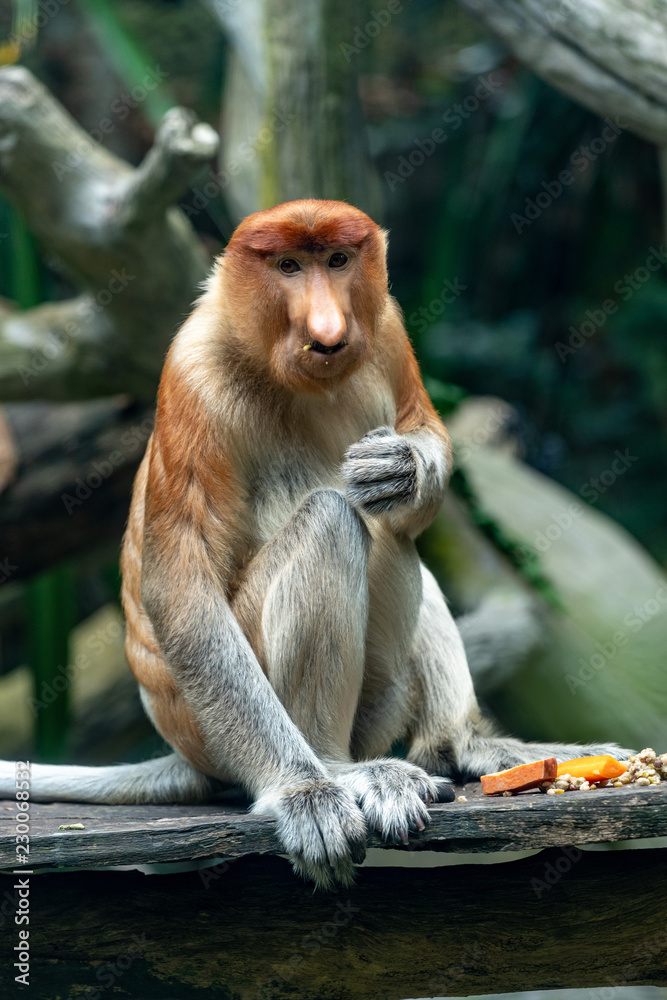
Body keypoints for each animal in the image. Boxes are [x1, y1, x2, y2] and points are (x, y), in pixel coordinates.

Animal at [0, 200, 631, 888]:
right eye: (287, 267)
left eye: (337, 260)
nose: (328, 328)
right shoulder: (193, 373)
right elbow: (182, 593)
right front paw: (304, 794)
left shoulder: (387, 328)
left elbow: (421, 430)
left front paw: (401, 467)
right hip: (209, 726)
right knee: (332, 517)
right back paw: (342, 771)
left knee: (393, 534)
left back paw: (462, 745)